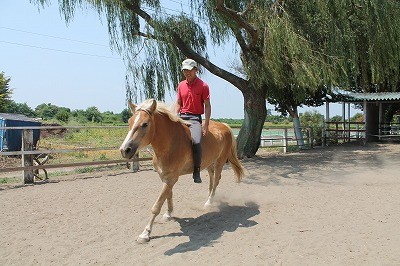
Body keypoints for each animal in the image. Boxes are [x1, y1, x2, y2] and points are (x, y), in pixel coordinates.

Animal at [119, 98, 244, 243]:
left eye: (145, 124)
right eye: (129, 122)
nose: (125, 150)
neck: (170, 142)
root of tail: (224, 126)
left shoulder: (171, 178)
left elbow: (157, 205)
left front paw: (145, 233)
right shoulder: (165, 177)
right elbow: (168, 196)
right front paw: (168, 214)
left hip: (219, 163)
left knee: (216, 181)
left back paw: (209, 203)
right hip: (209, 164)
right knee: (212, 181)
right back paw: (209, 198)